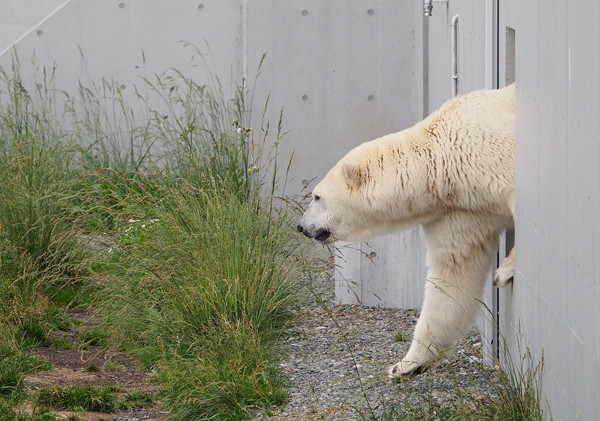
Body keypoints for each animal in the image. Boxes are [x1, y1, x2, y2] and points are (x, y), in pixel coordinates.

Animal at [298, 83, 512, 376]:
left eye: (317, 196)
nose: (301, 226)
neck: (444, 157)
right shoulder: (461, 209)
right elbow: (453, 273)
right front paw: (405, 365)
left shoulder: (493, 154)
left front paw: (505, 271)